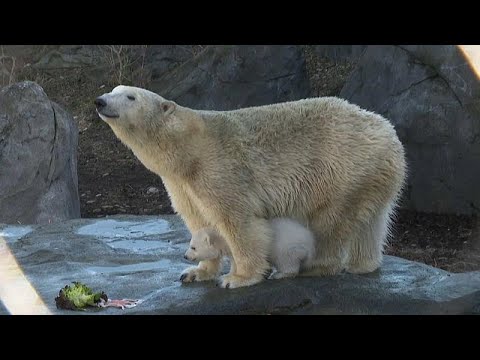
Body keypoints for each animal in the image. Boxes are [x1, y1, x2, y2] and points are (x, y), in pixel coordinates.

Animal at [94, 86, 404, 290]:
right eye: (112, 89)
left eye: (130, 96)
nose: (100, 101)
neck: (188, 149)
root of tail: (387, 131)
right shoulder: (181, 184)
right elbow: (198, 219)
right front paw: (195, 271)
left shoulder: (219, 168)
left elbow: (238, 221)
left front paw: (237, 278)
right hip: (371, 175)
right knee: (371, 221)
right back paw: (364, 263)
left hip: (341, 169)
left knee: (329, 221)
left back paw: (313, 266)